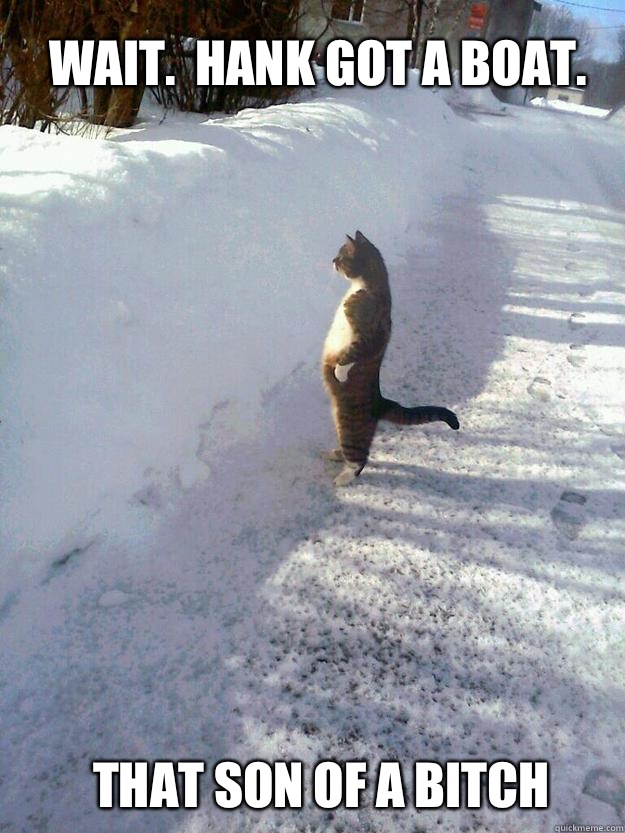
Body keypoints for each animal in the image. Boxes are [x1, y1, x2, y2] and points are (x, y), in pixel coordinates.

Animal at [322, 231, 458, 484]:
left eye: (341, 257)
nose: (332, 260)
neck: (365, 287)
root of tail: (381, 401)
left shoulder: (370, 335)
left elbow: (352, 353)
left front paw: (340, 371)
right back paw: (335, 454)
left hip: (350, 427)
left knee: (360, 459)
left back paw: (344, 477)